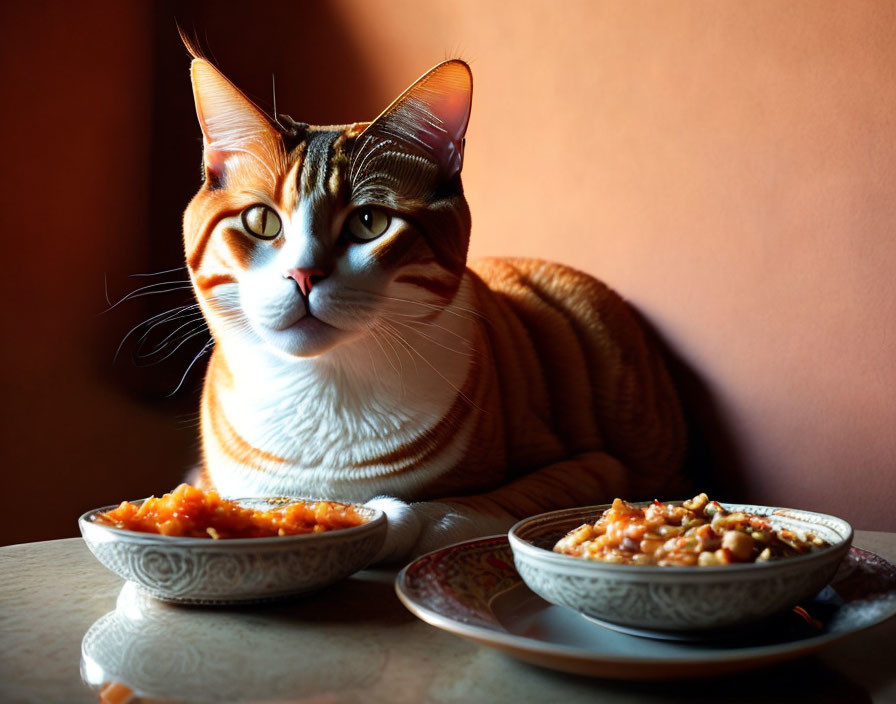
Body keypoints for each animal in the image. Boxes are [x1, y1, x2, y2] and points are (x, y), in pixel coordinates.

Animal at [182, 46, 688, 564]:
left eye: (369, 222)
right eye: (262, 221)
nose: (304, 275)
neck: (321, 390)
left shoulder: (593, 467)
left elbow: (453, 510)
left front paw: (389, 517)